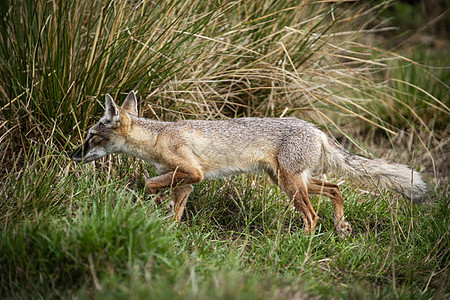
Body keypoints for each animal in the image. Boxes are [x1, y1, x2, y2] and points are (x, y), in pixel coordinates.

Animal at [68, 90, 428, 238]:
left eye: (90, 137)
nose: (72, 155)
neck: (157, 138)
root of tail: (317, 130)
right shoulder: (184, 180)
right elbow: (175, 209)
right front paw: (166, 226)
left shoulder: (192, 173)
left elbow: (149, 183)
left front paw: (154, 199)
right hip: (289, 180)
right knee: (336, 188)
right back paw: (341, 226)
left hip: (290, 184)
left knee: (313, 215)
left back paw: (303, 241)